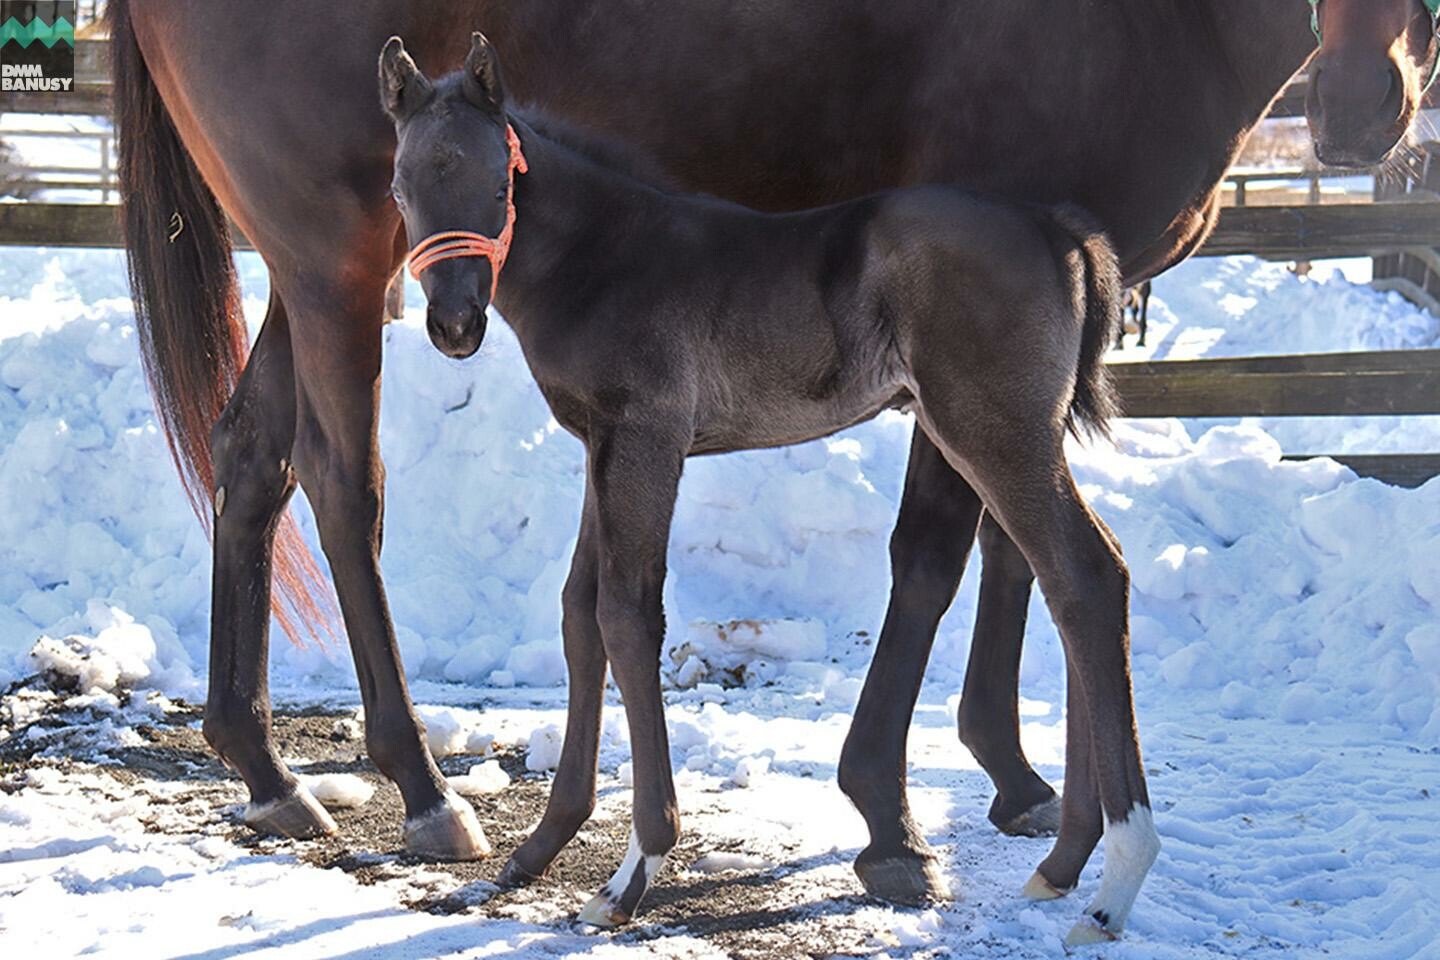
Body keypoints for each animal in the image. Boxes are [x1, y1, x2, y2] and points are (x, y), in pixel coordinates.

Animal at [380, 33, 1157, 944]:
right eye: (402, 189)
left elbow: (627, 617)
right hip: (1014, 437)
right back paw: (1064, 862)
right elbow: (579, 614)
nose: (454, 324)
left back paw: (1113, 884)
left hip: (994, 433)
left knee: (1084, 574)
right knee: (1075, 572)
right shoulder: (600, 446)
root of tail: (1058, 226)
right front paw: (540, 846)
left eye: (498, 184)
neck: (604, 257)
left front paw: (632, 872)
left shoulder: (646, 441)